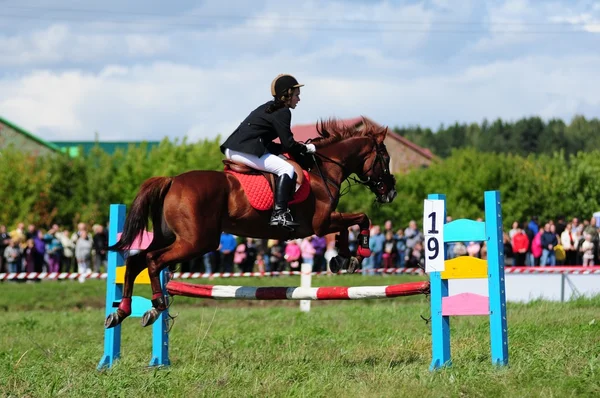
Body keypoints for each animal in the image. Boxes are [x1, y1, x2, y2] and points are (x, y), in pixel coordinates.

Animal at [105, 118, 398, 330]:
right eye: (385, 158)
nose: (391, 192)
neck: (322, 169)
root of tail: (172, 181)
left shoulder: (325, 223)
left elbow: (348, 226)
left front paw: (342, 258)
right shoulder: (320, 224)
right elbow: (360, 218)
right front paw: (358, 253)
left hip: (168, 236)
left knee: (135, 261)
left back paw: (121, 312)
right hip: (197, 241)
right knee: (153, 260)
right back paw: (156, 305)